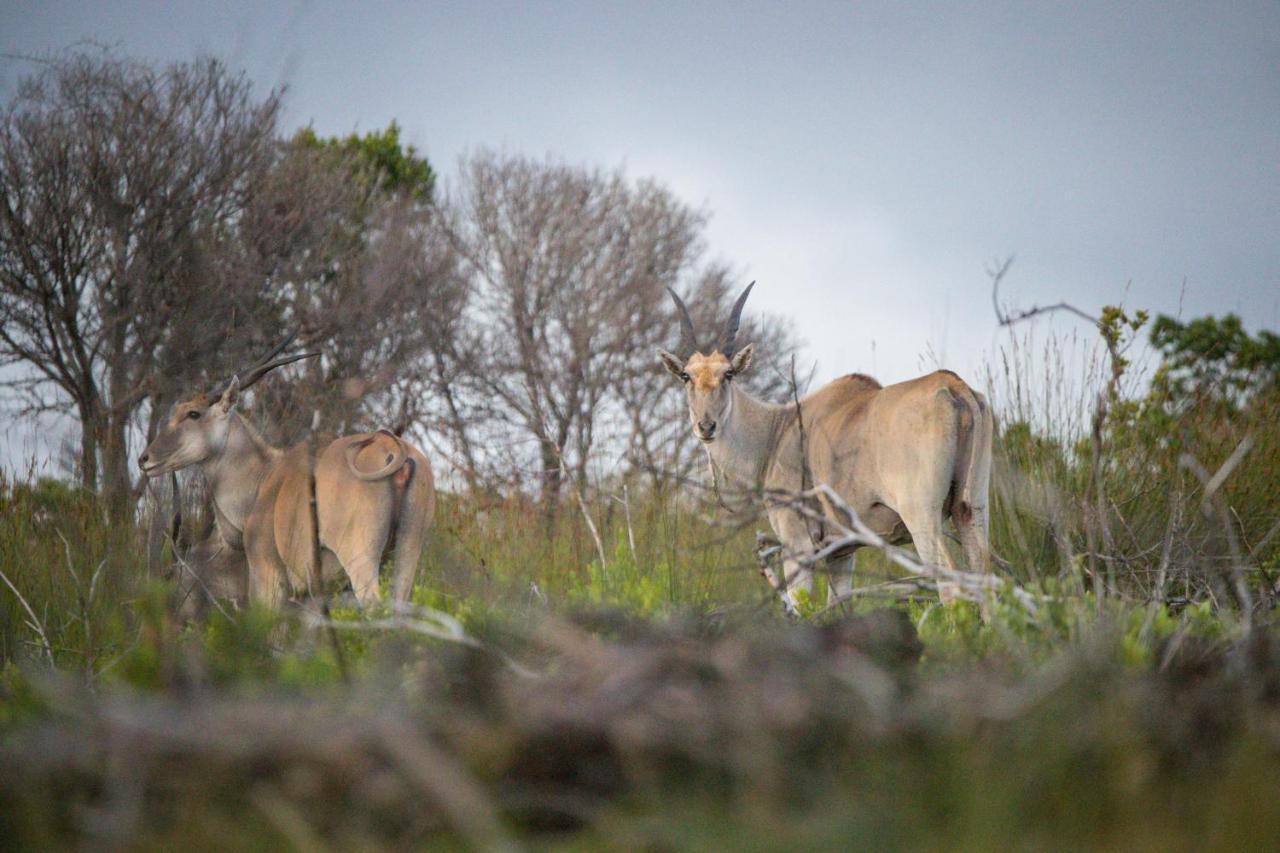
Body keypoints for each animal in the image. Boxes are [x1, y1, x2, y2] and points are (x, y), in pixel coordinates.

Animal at [138, 338, 432, 604]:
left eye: (193, 413)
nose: (144, 459)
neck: (262, 478)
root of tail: (391, 447)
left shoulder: (268, 578)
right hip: (407, 556)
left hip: (360, 560)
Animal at [655, 286, 993, 612]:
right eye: (686, 376)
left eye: (728, 374)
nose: (706, 426)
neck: (777, 429)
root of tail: (954, 387)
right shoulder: (842, 552)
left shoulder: (798, 545)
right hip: (971, 510)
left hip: (921, 517)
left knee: (952, 588)